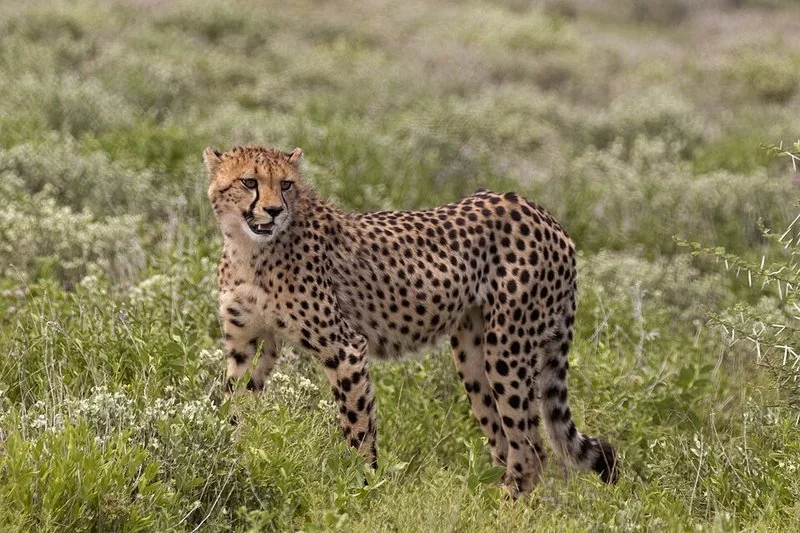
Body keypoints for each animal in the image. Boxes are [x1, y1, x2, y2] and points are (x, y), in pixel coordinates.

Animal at [204, 144, 618, 495]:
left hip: (508, 349)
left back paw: (503, 509)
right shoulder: (249, 345)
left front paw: (363, 489)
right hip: (473, 357)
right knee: (508, 444)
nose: (274, 210)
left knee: (531, 451)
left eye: (286, 185)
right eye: (249, 182)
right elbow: (234, 406)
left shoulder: (345, 347)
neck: (250, 249)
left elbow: (357, 427)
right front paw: (228, 458)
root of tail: (543, 213)